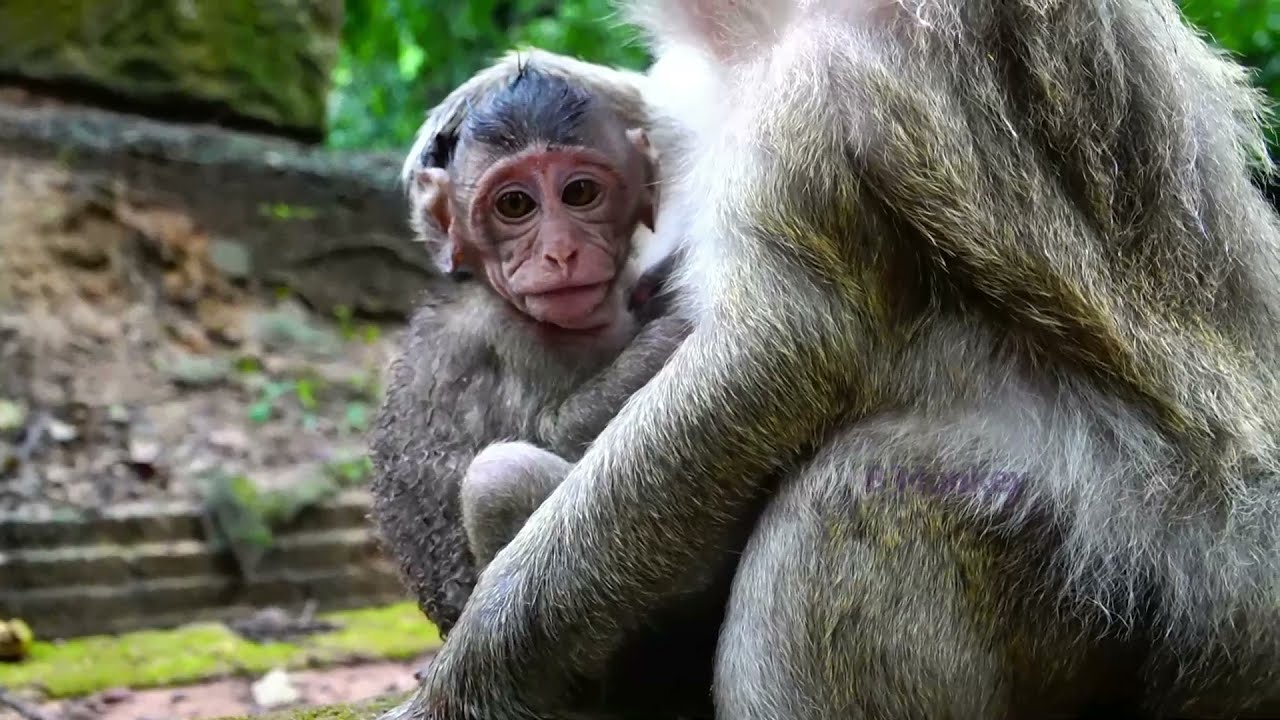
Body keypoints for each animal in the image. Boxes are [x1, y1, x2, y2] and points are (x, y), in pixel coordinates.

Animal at [385, 2, 1280, 719]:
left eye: (575, 197)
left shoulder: (844, 73)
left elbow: (778, 351)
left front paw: (466, 679)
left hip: (1143, 589)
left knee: (850, 501)